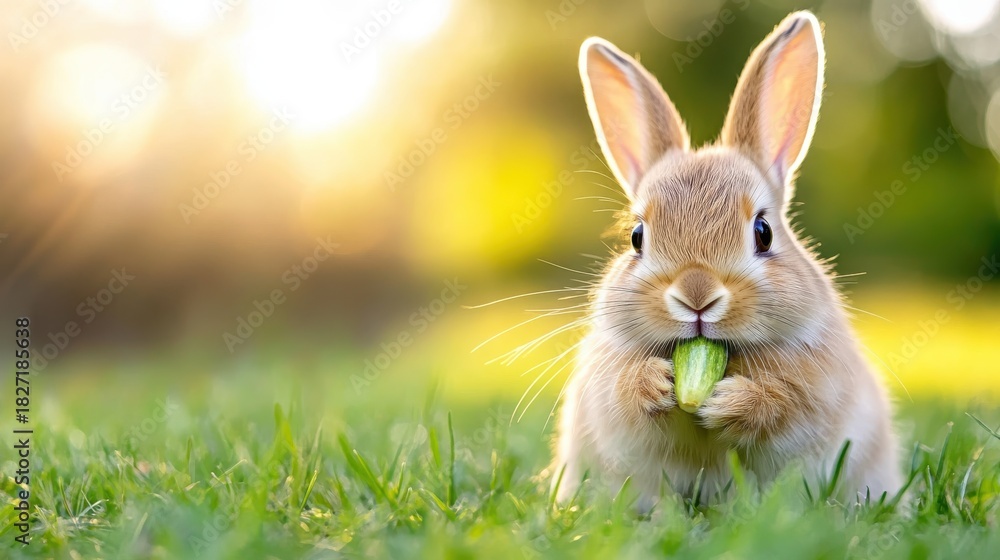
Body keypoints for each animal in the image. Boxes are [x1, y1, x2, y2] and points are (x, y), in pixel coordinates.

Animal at [551, 11, 901, 508]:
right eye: (637, 237)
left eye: (763, 232)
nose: (696, 297)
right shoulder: (606, 384)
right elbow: (623, 393)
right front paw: (656, 385)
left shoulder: (816, 389)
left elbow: (781, 403)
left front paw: (726, 403)